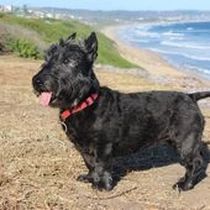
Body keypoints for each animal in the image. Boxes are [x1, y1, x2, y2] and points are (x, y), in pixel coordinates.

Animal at [32, 32, 210, 191]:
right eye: (47, 58)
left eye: (68, 61)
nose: (37, 81)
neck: (84, 103)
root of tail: (191, 97)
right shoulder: (83, 147)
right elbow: (90, 163)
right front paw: (90, 178)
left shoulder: (103, 145)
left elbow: (101, 165)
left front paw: (102, 186)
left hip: (186, 142)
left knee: (195, 162)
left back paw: (185, 185)